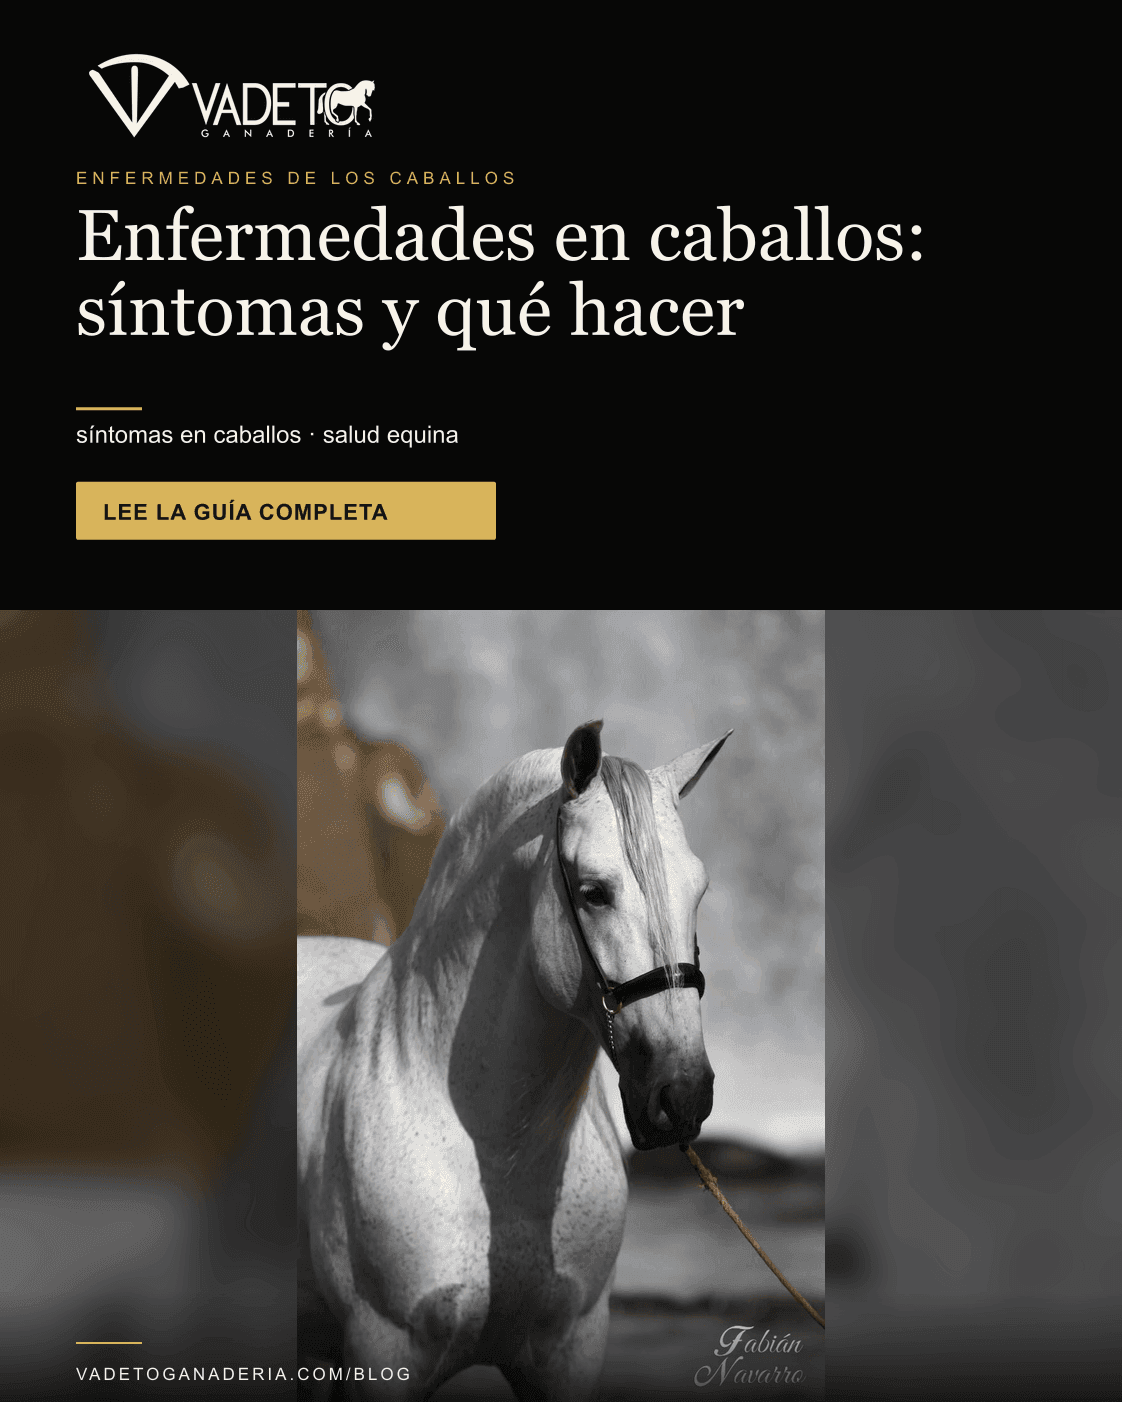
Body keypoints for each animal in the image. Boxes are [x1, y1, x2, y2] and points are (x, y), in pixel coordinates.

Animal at [297, 719, 731, 1399]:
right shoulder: (383, 1349)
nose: (682, 1094)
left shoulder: (569, 1352)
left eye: (699, 890)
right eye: (594, 893)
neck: (500, 1156)